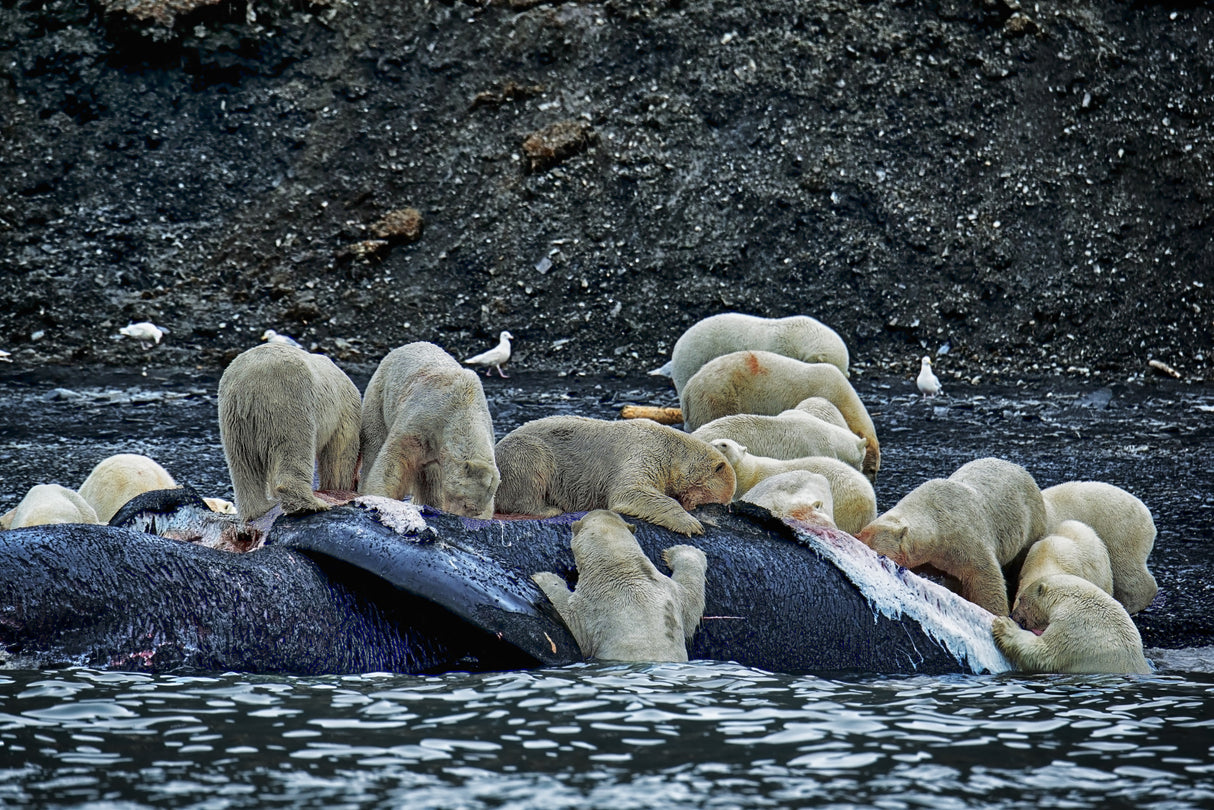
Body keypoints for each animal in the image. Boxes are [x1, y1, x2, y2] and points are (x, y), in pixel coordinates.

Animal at [217, 342, 362, 521]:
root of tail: (248, 383)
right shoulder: (346, 412)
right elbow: (339, 455)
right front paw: (339, 488)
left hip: (233, 418)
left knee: (243, 462)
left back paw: (259, 509)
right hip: (289, 399)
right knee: (296, 445)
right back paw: (310, 505)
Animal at [359, 342, 500, 519]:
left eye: (477, 510)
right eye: (465, 503)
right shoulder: (426, 417)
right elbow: (395, 459)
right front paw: (379, 497)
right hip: (380, 395)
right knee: (374, 442)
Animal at [494, 415, 736, 535]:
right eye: (719, 501)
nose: (695, 509)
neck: (672, 449)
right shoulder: (645, 452)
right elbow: (631, 491)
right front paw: (692, 525)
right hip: (520, 454)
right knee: (531, 461)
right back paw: (548, 508)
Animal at [531, 509, 708, 662]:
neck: (622, 567)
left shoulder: (592, 605)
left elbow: (570, 619)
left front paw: (543, 577)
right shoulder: (668, 591)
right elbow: (692, 603)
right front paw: (686, 549)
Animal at [992, 573, 1152, 674]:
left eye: (1020, 599)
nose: (1012, 615)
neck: (1067, 598)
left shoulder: (1074, 624)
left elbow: (1045, 654)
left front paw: (1004, 625)